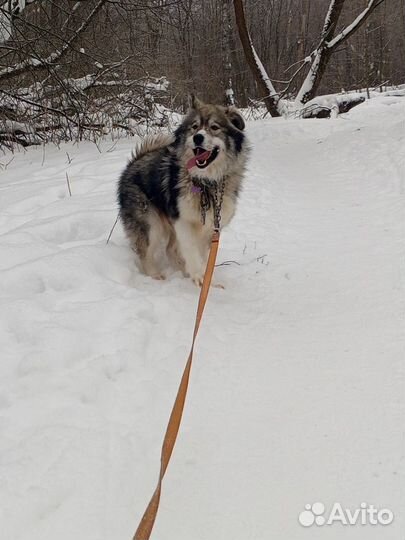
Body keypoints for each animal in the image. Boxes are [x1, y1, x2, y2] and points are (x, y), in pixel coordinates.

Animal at [117, 96, 248, 286]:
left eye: (214, 127)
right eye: (194, 126)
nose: (198, 137)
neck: (205, 183)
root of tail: (133, 162)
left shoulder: (211, 227)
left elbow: (203, 256)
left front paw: (206, 278)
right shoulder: (183, 221)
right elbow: (192, 251)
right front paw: (200, 277)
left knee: (170, 250)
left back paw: (181, 270)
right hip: (150, 223)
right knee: (146, 253)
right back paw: (155, 275)